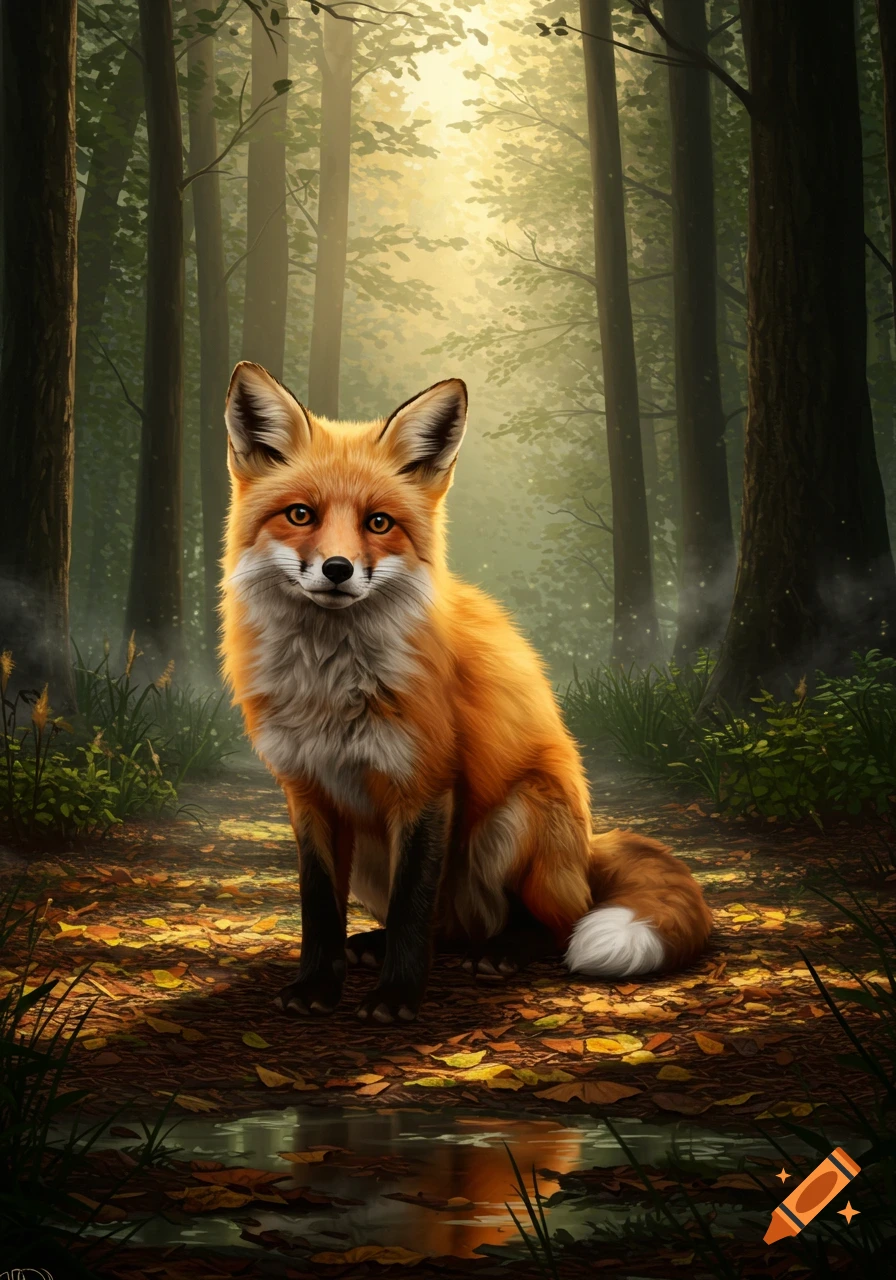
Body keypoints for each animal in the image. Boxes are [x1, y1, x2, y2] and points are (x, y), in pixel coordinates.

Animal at [220, 361, 713, 1023]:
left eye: (379, 522)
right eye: (300, 515)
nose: (337, 570)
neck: (331, 685)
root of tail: (588, 849)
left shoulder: (426, 784)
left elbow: (412, 904)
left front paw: (397, 998)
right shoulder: (308, 793)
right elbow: (319, 907)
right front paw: (316, 986)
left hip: (514, 818)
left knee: (557, 920)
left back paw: (505, 951)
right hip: (378, 854)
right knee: (447, 929)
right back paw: (380, 944)